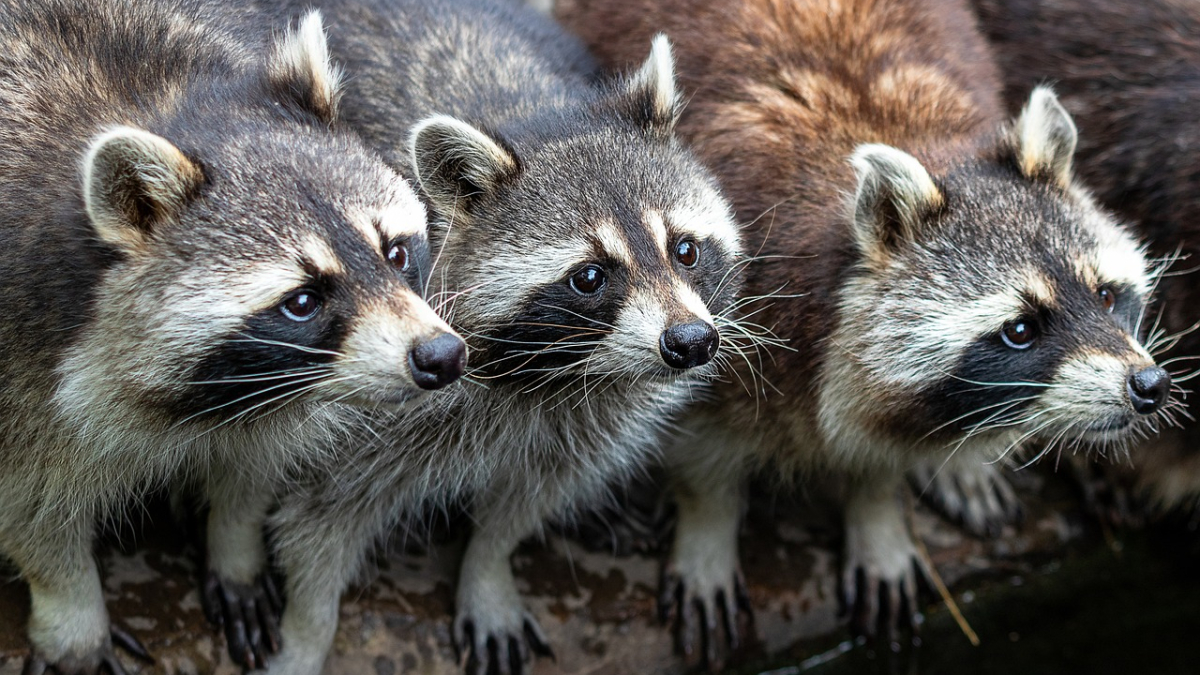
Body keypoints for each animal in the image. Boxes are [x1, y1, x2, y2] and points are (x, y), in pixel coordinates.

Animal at [0, 2, 463, 667]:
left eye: (396, 253)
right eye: (302, 301)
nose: (442, 355)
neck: (158, 100)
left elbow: (255, 459)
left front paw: (234, 539)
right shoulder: (19, 344)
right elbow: (30, 506)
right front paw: (72, 613)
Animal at [200, 1, 739, 672]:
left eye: (685, 250)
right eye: (590, 276)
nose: (690, 341)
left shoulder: (582, 419)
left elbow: (526, 501)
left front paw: (488, 566)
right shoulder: (354, 409)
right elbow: (315, 526)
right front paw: (307, 630)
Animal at [556, 0, 1176, 662]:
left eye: (1107, 295)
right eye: (1020, 329)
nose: (1147, 386)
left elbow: (881, 440)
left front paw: (878, 507)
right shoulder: (709, 312)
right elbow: (700, 440)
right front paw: (706, 528)